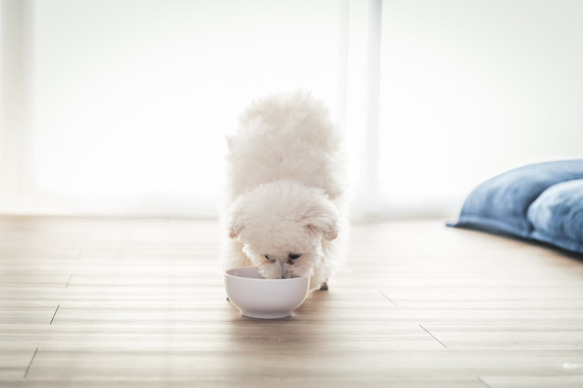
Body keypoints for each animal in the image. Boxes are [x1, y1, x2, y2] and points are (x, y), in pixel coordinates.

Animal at [224, 91, 346, 292]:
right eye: (267, 256)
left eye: (295, 255)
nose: (282, 279)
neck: (282, 180)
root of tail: (287, 95)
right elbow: (236, 250)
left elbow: (325, 252)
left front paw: (316, 279)